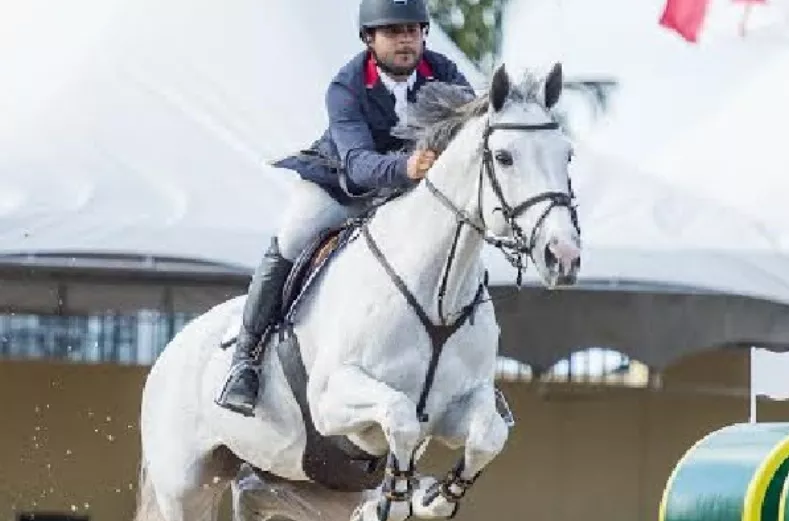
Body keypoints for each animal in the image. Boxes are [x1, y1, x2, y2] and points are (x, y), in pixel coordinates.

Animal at [134, 64, 580, 520]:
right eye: (505, 157)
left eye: (567, 155)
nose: (562, 257)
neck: (438, 293)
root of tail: (169, 352)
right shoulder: (331, 399)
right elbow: (401, 416)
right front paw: (397, 498)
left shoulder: (456, 406)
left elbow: (489, 435)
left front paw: (432, 498)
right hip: (187, 487)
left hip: (301, 474)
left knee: (254, 490)